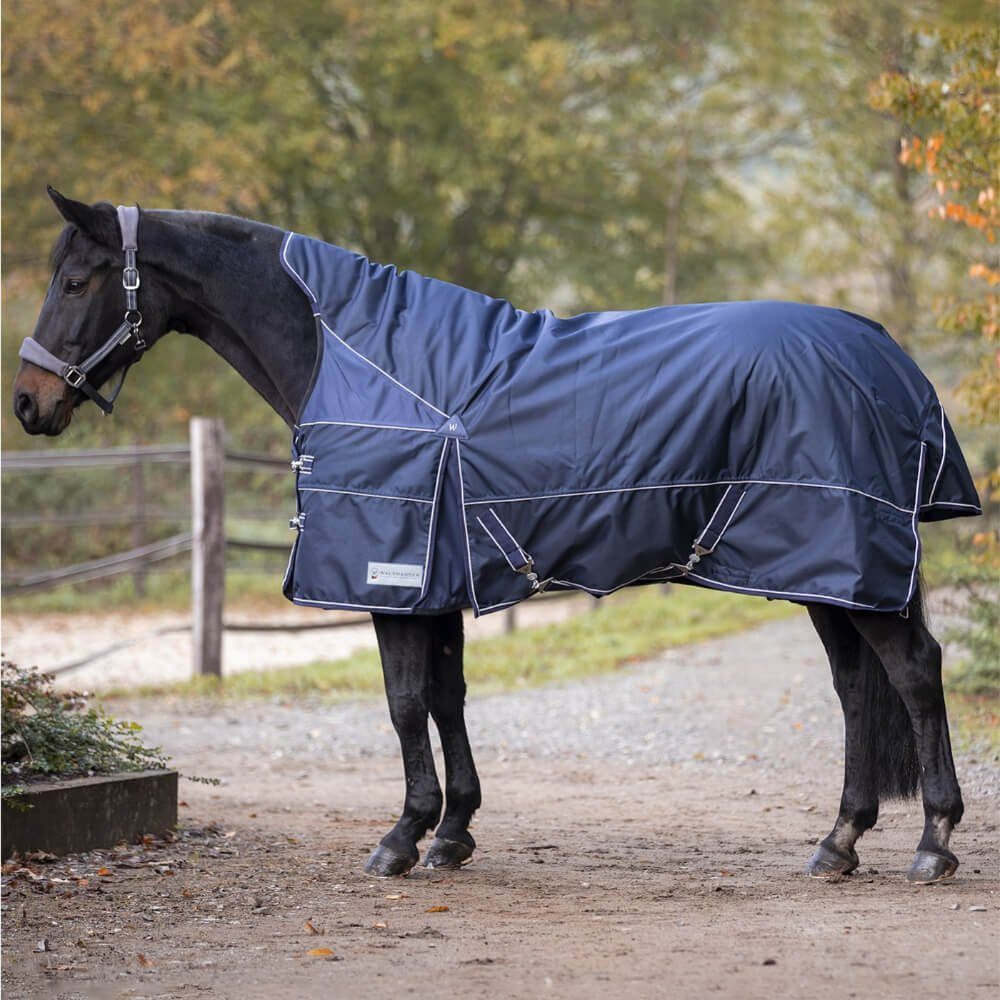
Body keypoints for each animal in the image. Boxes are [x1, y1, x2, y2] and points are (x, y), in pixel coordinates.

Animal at [12, 189, 981, 885]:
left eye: (75, 281)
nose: (30, 402)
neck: (349, 354)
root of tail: (887, 355)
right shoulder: (436, 577)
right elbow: (447, 698)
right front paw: (453, 832)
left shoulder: (392, 573)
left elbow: (405, 703)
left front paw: (401, 837)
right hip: (827, 572)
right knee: (857, 689)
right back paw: (839, 841)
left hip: (844, 562)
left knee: (912, 672)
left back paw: (932, 842)